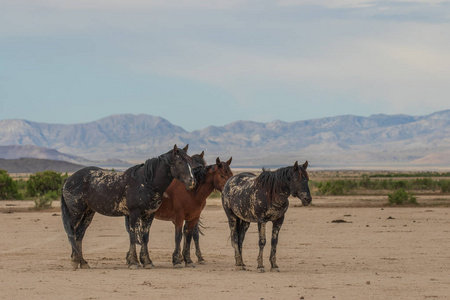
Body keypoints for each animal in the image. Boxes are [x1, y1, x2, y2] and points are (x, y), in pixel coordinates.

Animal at [59, 144, 195, 270]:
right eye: (179, 162)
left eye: (190, 161)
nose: (192, 181)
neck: (145, 182)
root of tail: (68, 180)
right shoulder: (134, 213)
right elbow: (133, 236)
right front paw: (134, 262)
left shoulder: (149, 214)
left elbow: (145, 237)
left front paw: (147, 262)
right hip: (76, 213)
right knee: (73, 233)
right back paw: (74, 261)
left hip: (88, 213)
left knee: (79, 234)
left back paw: (83, 262)